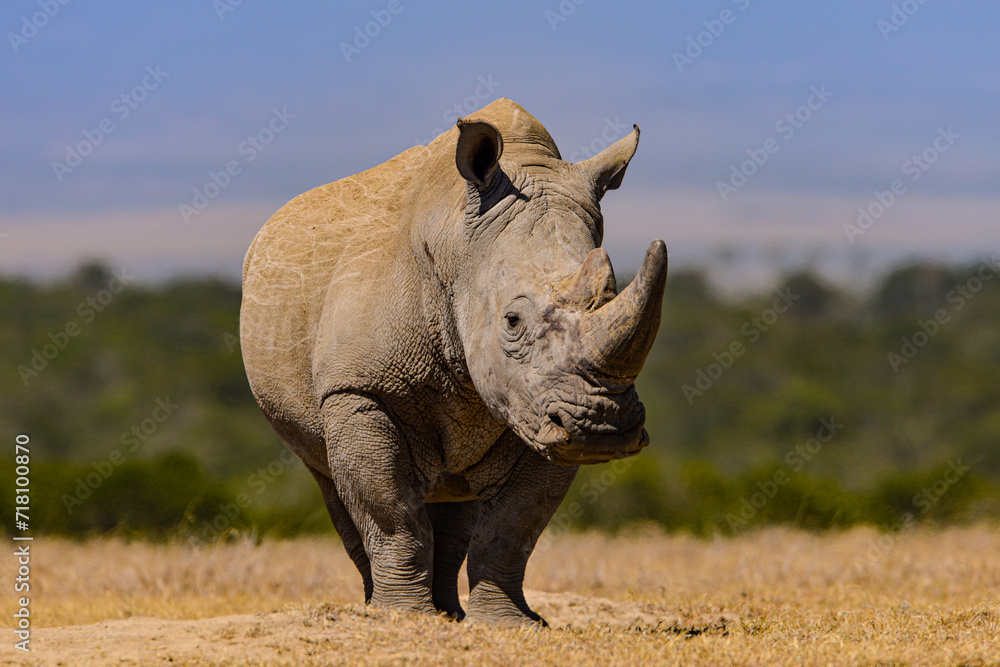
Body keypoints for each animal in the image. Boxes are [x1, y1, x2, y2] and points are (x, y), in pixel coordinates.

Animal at [240, 98, 667, 625]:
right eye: (512, 321)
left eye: (611, 295)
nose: (604, 425)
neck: (458, 248)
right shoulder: (359, 388)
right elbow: (390, 512)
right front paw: (403, 618)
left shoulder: (536, 407)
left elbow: (514, 525)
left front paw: (510, 624)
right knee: (333, 481)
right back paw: (382, 609)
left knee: (454, 492)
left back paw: (451, 615)